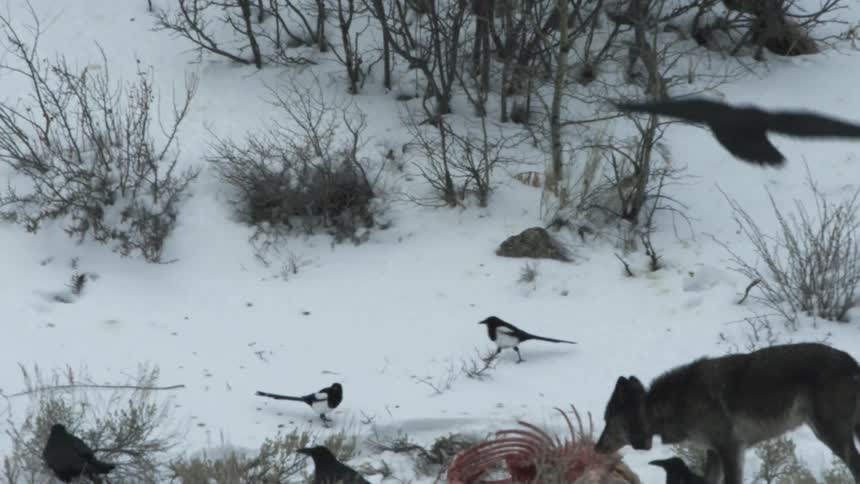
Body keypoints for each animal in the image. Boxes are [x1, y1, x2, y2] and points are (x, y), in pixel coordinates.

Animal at [594, 342, 860, 484]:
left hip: (831, 435)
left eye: (607, 421)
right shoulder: (714, 452)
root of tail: (851, 362)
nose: (596, 449)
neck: (672, 406)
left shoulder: (731, 449)